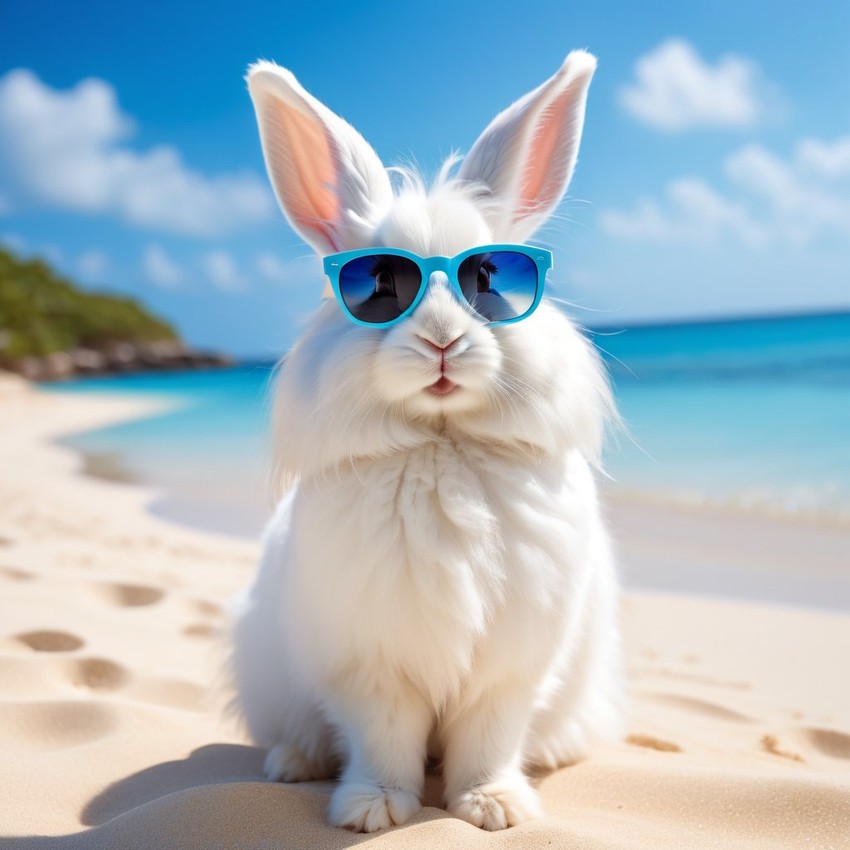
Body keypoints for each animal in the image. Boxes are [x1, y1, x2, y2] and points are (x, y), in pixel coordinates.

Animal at [230, 51, 624, 828]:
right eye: (380, 283)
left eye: (488, 279)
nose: (442, 340)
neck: (440, 445)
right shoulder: (372, 666)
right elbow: (382, 737)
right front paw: (372, 810)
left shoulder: (508, 668)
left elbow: (489, 734)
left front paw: (495, 808)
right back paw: (292, 764)